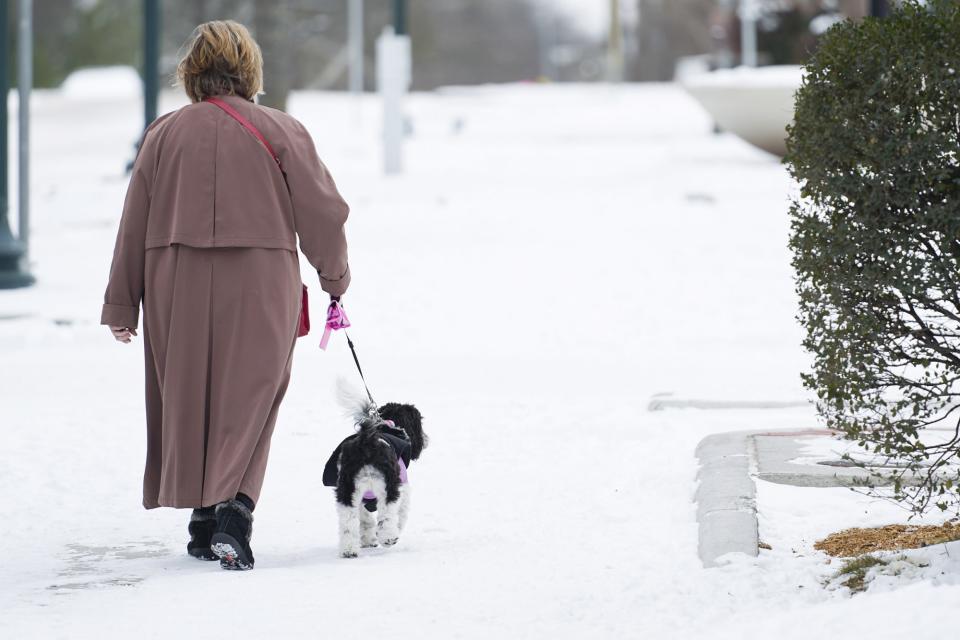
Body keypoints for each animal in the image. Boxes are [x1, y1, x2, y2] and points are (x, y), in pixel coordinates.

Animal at [322, 398, 428, 556]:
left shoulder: (361, 498)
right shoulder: (403, 487)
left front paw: (368, 540)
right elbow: (400, 515)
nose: (425, 440)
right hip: (389, 487)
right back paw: (389, 538)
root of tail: (367, 442)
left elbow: (365, 519)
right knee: (387, 514)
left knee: (348, 521)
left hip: (347, 491)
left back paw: (349, 550)